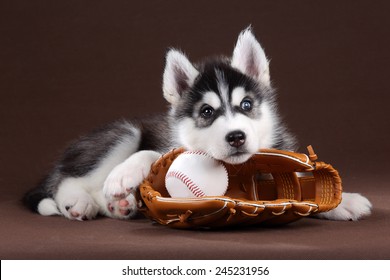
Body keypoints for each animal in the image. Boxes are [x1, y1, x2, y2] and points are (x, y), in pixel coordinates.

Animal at [22, 27, 372, 221]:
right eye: (206, 112)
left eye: (247, 105)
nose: (236, 137)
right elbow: (154, 155)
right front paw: (126, 173)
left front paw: (342, 200)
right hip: (122, 133)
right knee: (68, 180)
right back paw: (81, 201)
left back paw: (119, 206)